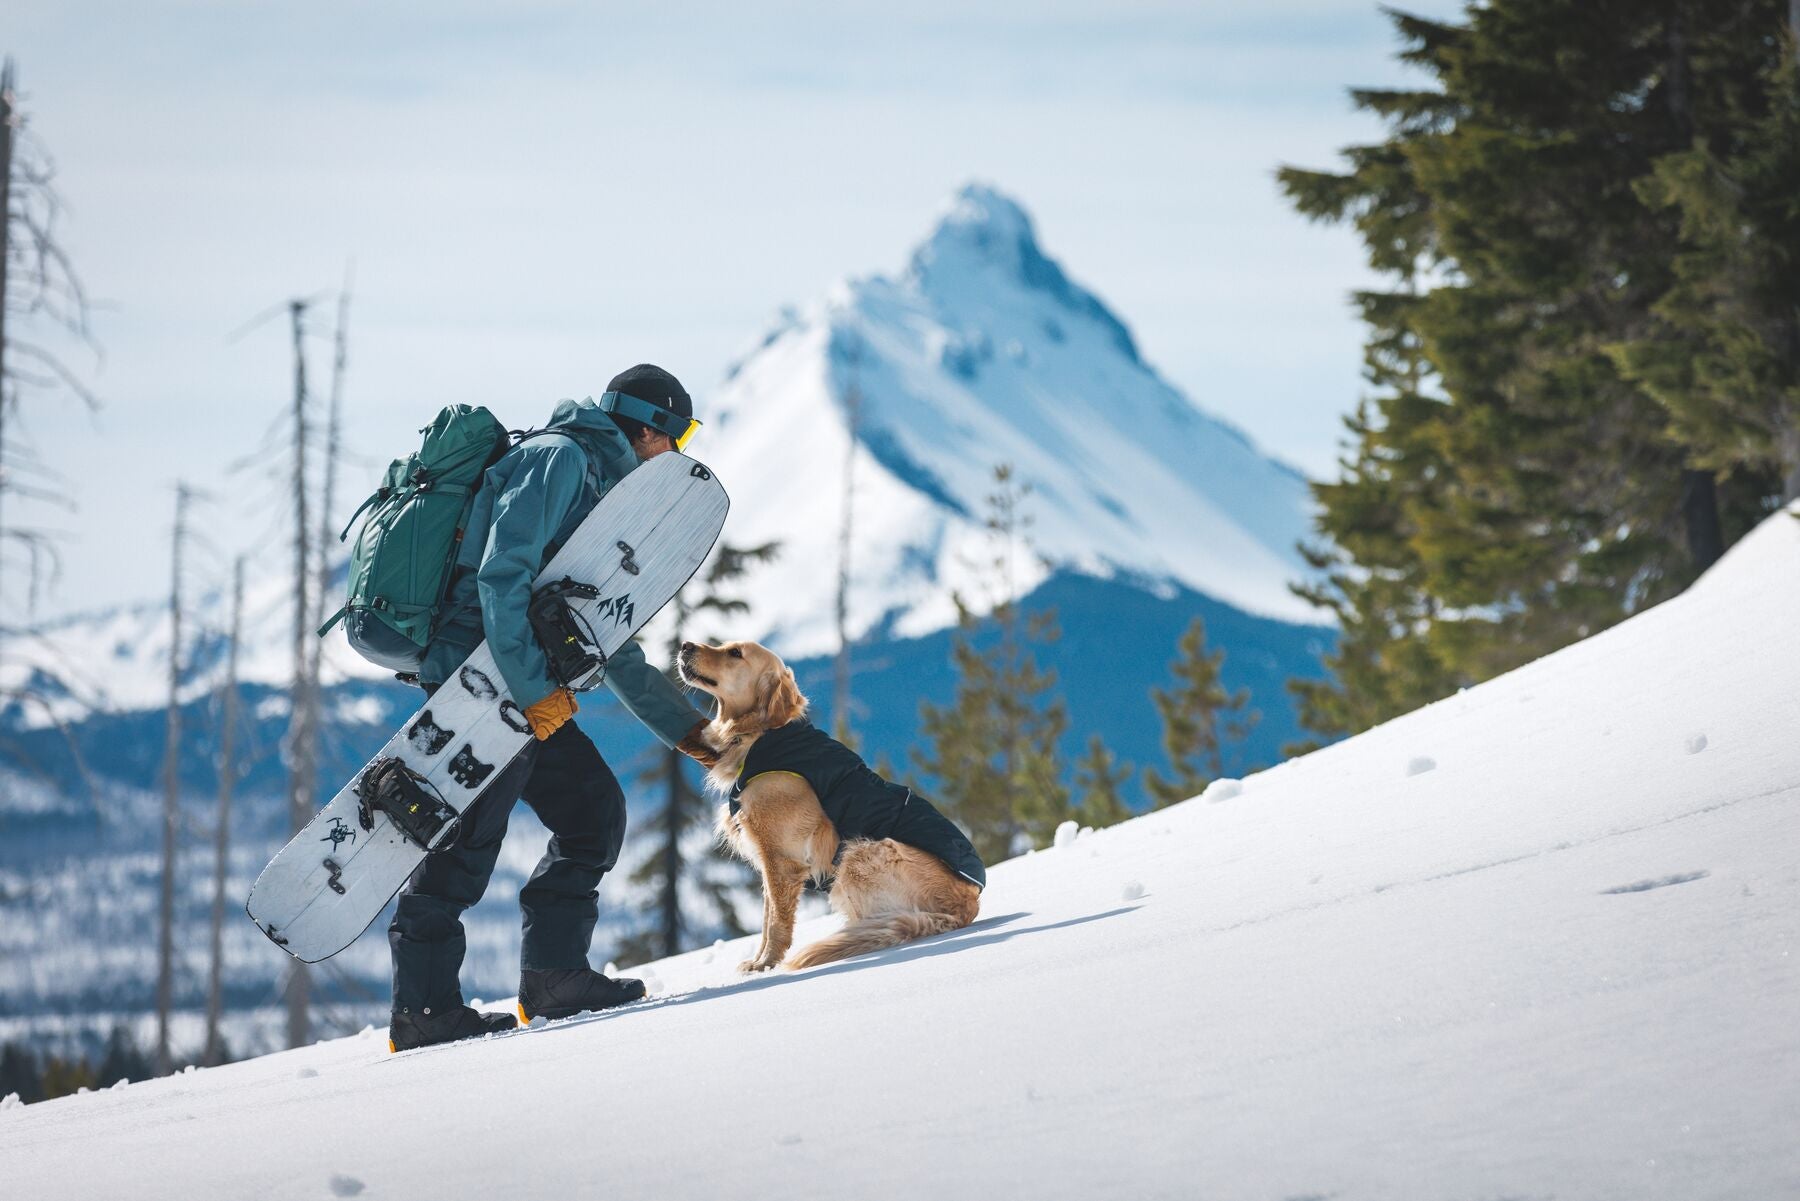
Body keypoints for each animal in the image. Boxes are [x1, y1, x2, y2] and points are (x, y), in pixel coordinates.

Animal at [676, 644, 986, 972]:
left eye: (735, 653)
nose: (685, 646)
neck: (765, 736)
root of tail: (967, 907)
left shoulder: (782, 860)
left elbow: (776, 923)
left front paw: (767, 965)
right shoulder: (767, 860)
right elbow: (766, 919)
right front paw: (757, 963)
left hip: (860, 852)